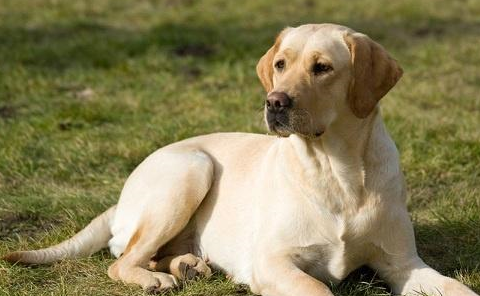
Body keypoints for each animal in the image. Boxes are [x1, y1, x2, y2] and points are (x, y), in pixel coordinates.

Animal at [2, 23, 476, 296]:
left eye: (322, 67)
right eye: (281, 64)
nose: (275, 102)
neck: (336, 170)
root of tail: (119, 200)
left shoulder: (404, 264)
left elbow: (454, 288)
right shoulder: (273, 261)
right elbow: (318, 289)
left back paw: (188, 265)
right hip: (192, 168)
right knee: (122, 261)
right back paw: (158, 277)